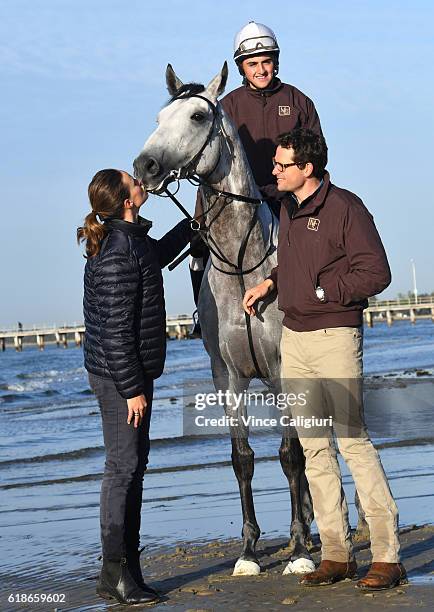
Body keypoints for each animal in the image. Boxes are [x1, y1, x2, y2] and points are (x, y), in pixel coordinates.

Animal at [135, 64, 322, 576]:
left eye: (198, 116)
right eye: (158, 118)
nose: (144, 166)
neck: (242, 265)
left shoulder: (282, 371)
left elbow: (290, 454)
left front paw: (299, 550)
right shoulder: (228, 377)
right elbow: (242, 458)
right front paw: (249, 551)